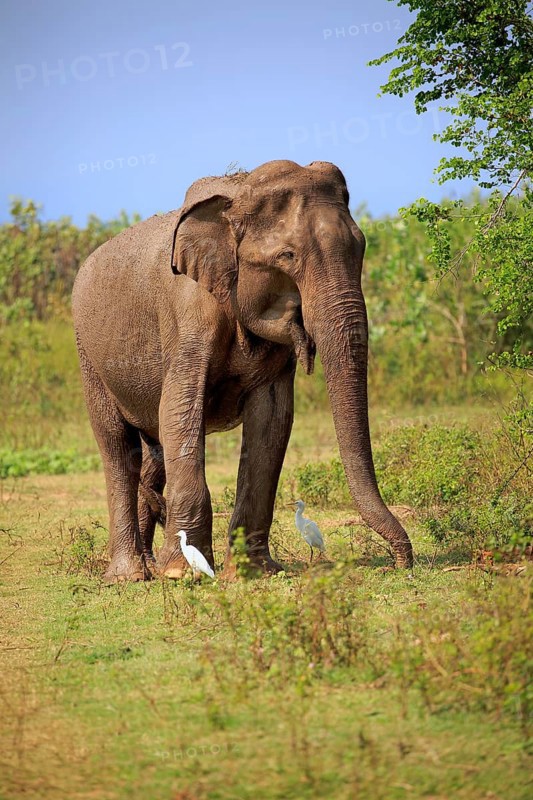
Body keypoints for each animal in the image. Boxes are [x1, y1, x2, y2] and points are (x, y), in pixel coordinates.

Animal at [72, 159, 413, 582]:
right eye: (287, 255)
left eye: (362, 246)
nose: (402, 562)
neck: (239, 191)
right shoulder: (187, 316)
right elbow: (179, 411)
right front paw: (182, 573)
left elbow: (273, 420)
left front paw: (255, 572)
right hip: (88, 356)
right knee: (117, 447)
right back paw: (129, 575)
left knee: (153, 456)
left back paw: (149, 565)